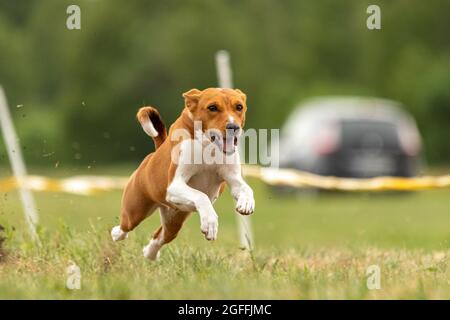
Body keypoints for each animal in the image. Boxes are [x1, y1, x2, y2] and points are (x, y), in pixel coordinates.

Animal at [110, 87, 255, 260]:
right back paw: (116, 233)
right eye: (212, 107)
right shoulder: (174, 186)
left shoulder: (233, 178)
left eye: (239, 107)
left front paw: (246, 202)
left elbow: (246, 188)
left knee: (160, 237)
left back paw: (150, 253)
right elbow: (201, 195)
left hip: (175, 220)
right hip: (135, 210)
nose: (233, 127)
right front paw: (210, 222)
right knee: (125, 228)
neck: (208, 146)